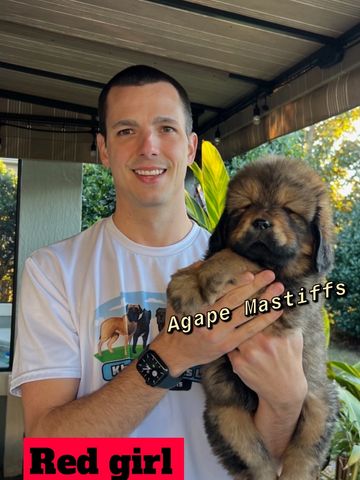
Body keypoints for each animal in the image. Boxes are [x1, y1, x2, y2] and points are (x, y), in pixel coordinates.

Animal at [167, 158, 338, 480]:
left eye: (289, 210)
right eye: (246, 206)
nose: (261, 222)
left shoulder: (287, 297)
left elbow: (238, 257)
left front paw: (204, 277)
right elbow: (227, 254)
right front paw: (188, 281)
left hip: (320, 404)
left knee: (303, 456)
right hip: (226, 415)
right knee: (256, 462)